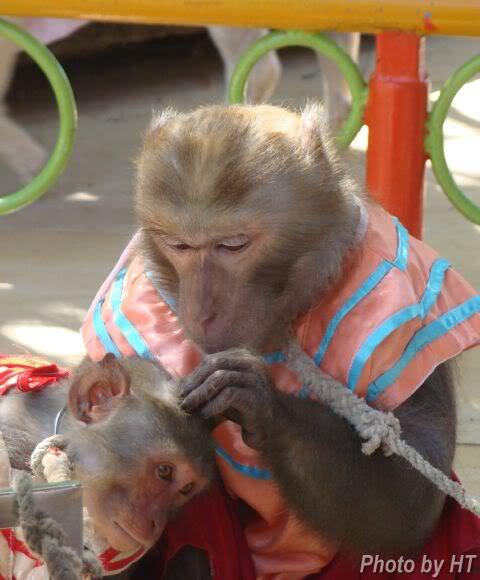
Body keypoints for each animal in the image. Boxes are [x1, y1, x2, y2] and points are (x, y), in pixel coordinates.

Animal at [82, 104, 480, 580]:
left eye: (233, 245)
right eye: (179, 245)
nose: (201, 310)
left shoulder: (406, 307)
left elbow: (418, 499)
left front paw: (254, 398)